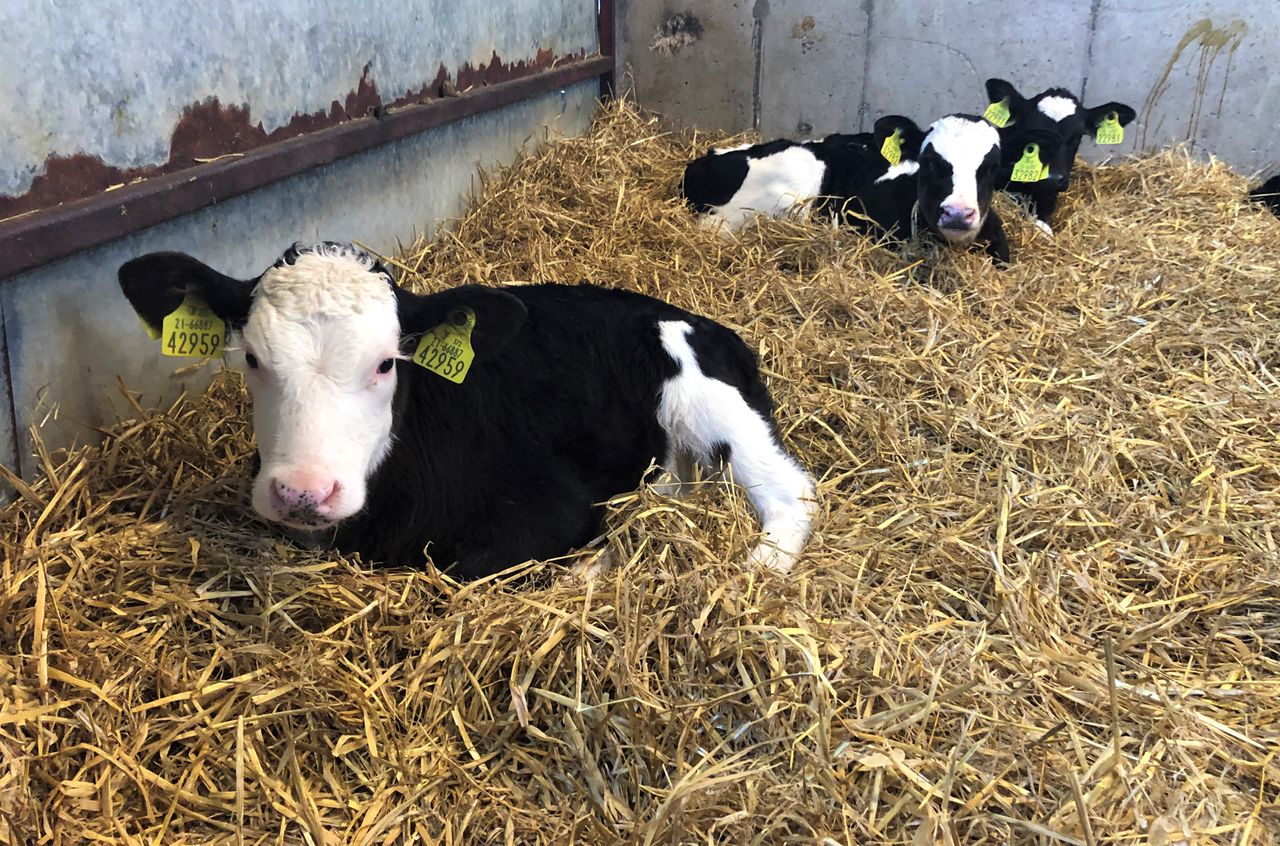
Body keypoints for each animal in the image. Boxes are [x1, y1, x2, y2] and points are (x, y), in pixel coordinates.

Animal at [118, 243, 818, 578]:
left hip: (713, 405)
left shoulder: (556, 508)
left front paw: (598, 563)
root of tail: (703, 319)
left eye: (387, 363)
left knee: (791, 491)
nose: (303, 492)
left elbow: (474, 568)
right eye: (253, 359)